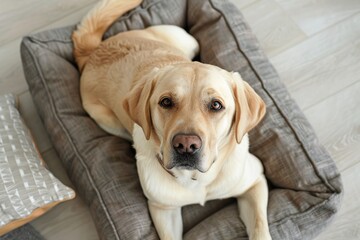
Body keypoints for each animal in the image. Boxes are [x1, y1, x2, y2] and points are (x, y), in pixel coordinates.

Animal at [72, 0, 270, 239]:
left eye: (216, 105)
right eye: (166, 102)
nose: (186, 145)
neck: (195, 179)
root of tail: (94, 50)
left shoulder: (255, 181)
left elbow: (260, 228)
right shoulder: (163, 210)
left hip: (187, 40)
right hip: (108, 121)